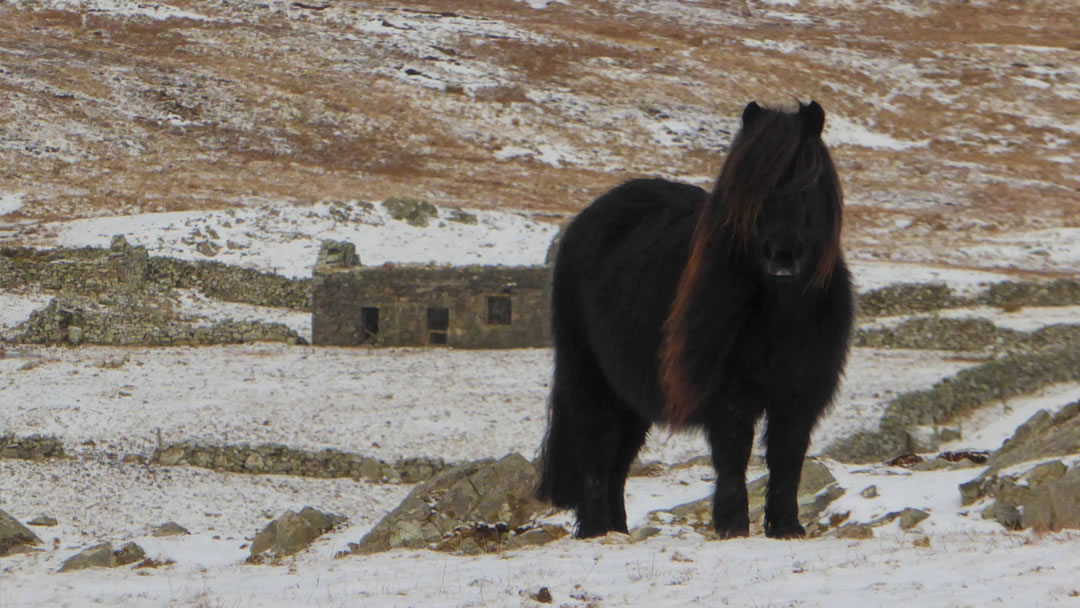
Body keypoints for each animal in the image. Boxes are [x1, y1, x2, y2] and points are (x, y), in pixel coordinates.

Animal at [537, 100, 851, 542]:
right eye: (751, 188)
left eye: (808, 182)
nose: (782, 256)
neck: (780, 314)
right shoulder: (727, 395)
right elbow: (733, 456)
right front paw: (732, 525)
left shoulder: (798, 395)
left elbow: (788, 459)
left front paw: (786, 526)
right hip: (589, 378)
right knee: (597, 450)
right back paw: (597, 529)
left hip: (631, 395)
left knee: (618, 460)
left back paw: (618, 529)